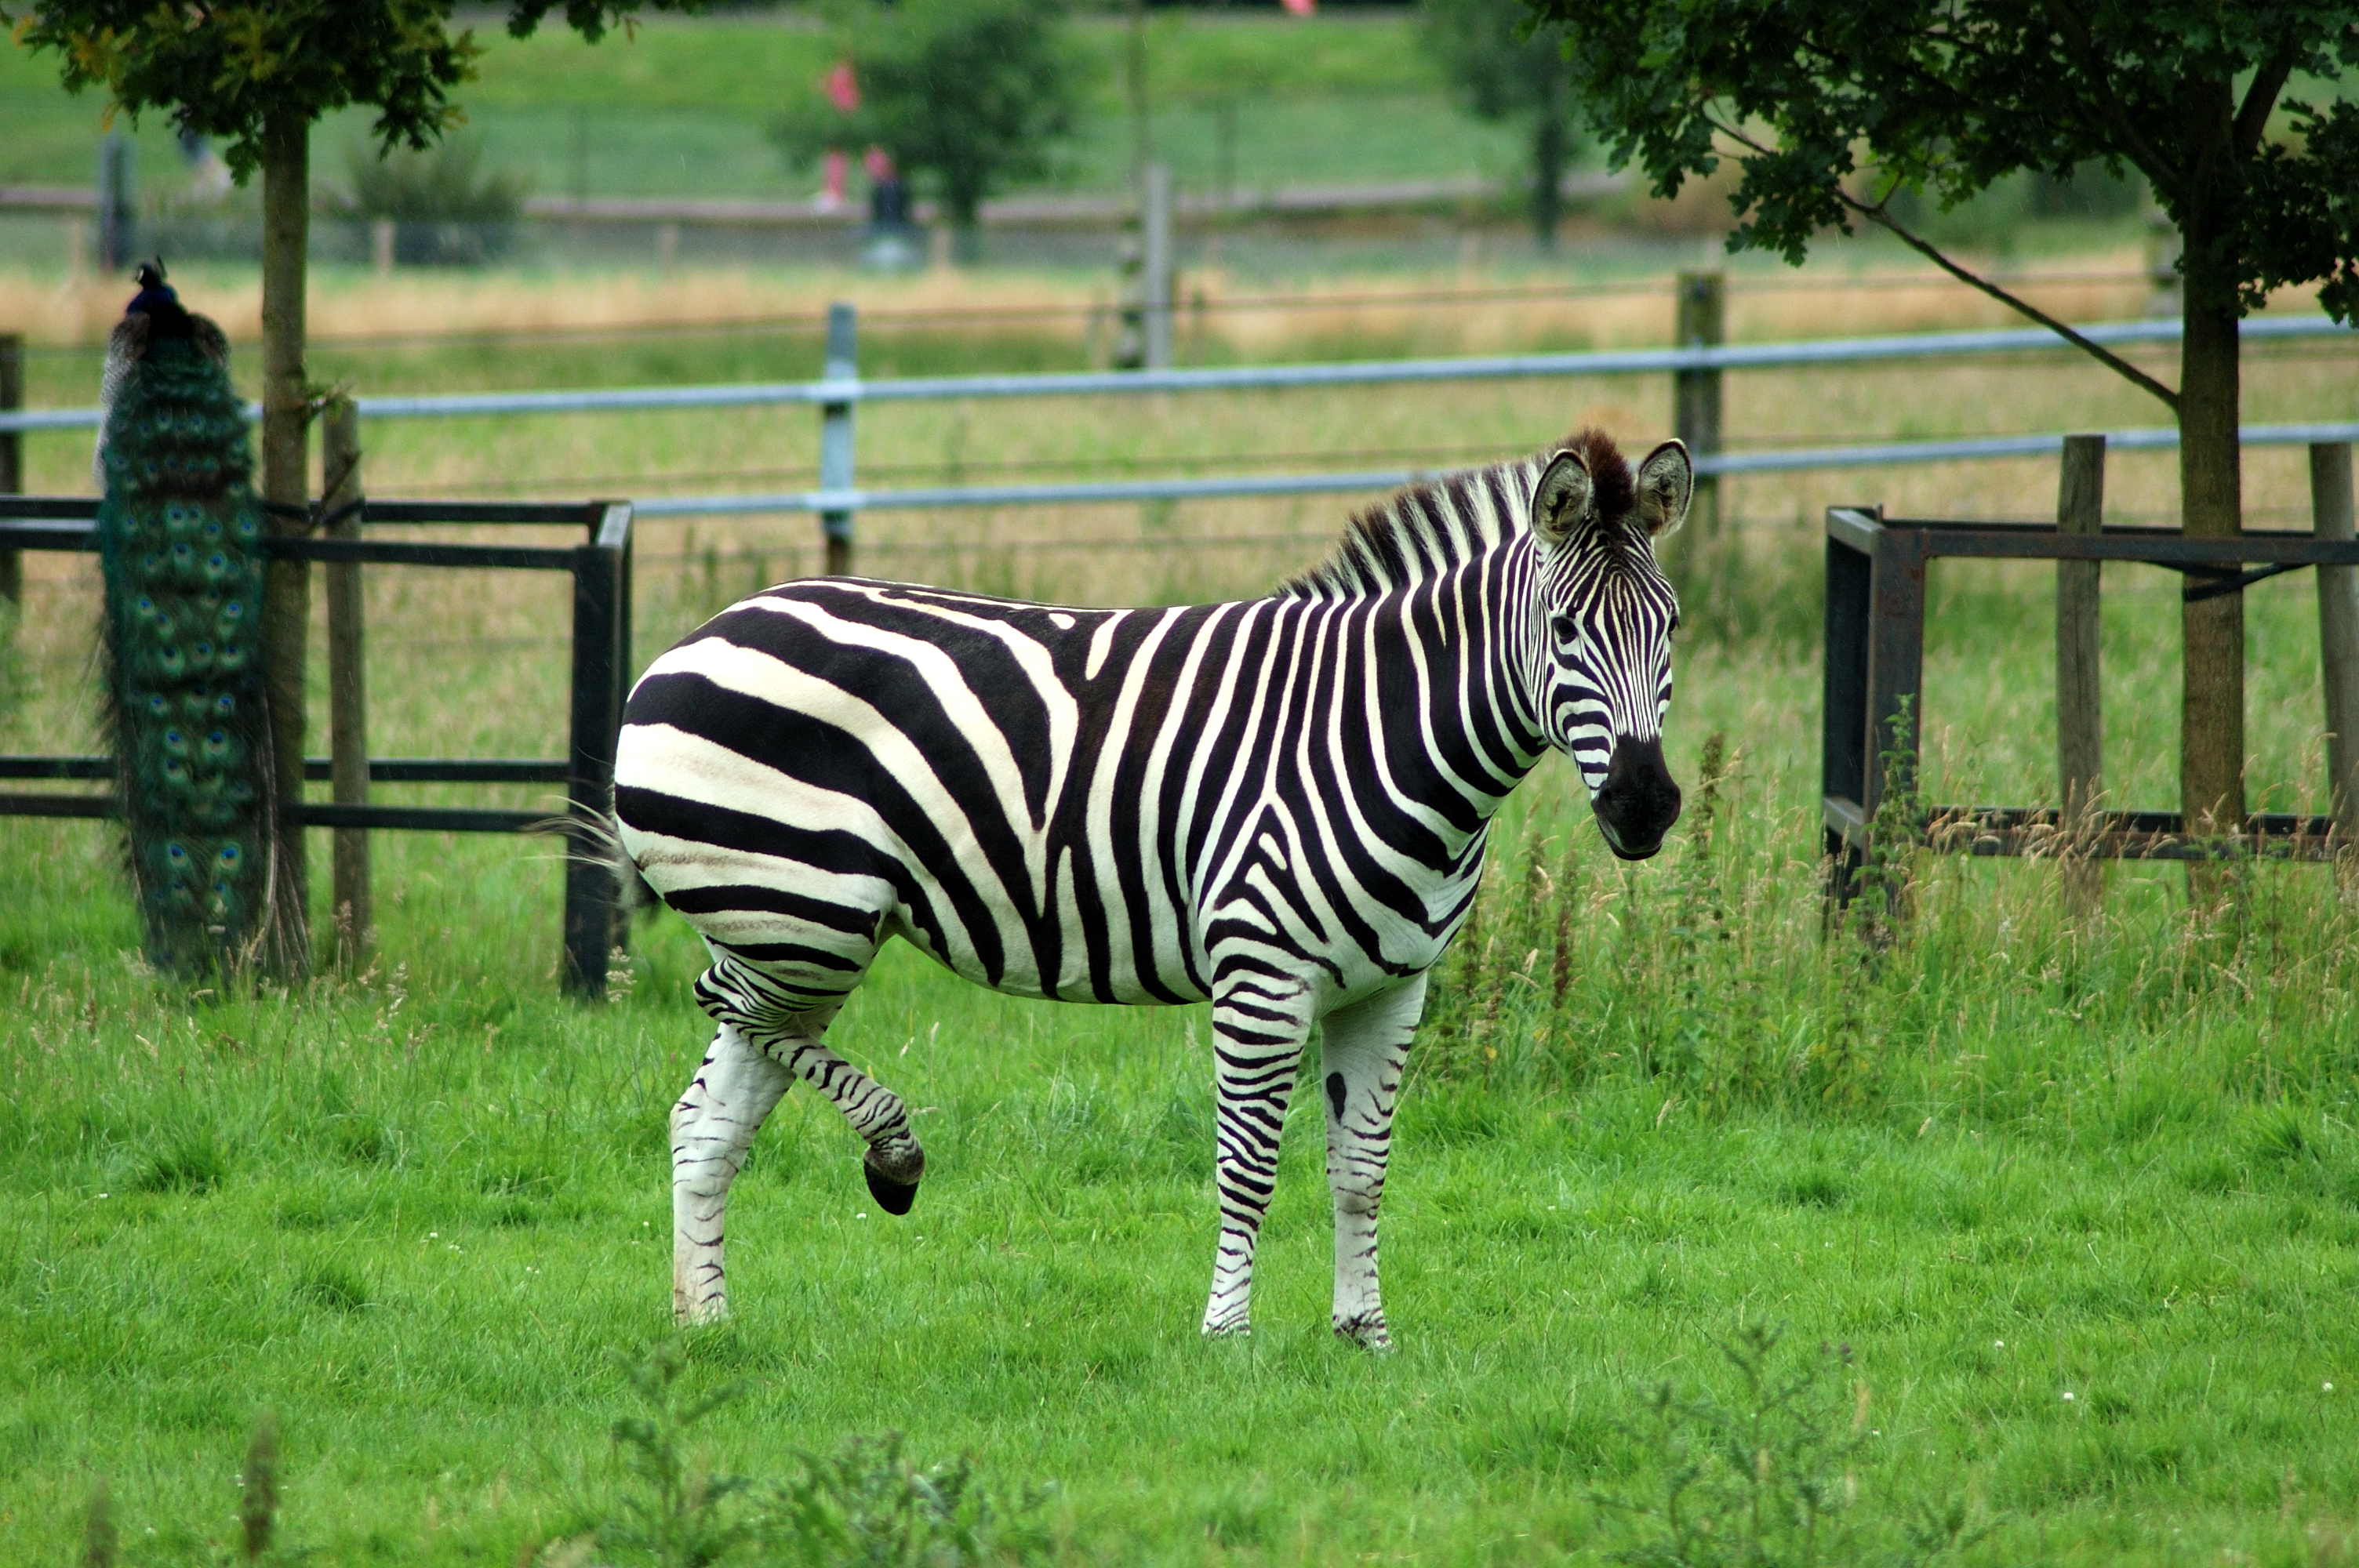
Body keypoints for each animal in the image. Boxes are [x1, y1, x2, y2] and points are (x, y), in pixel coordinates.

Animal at [609, 429, 1679, 1348]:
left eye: (1669, 627)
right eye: (1565, 629)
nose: (1645, 806)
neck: (1380, 726)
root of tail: (696, 636)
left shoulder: (1391, 985)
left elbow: (1361, 1169)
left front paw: (1365, 1335)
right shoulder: (1262, 973)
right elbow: (1247, 1164)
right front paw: (1227, 1337)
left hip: (794, 932)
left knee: (710, 1113)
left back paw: (707, 1324)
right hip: (802, 908)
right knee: (725, 1008)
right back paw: (892, 1152)